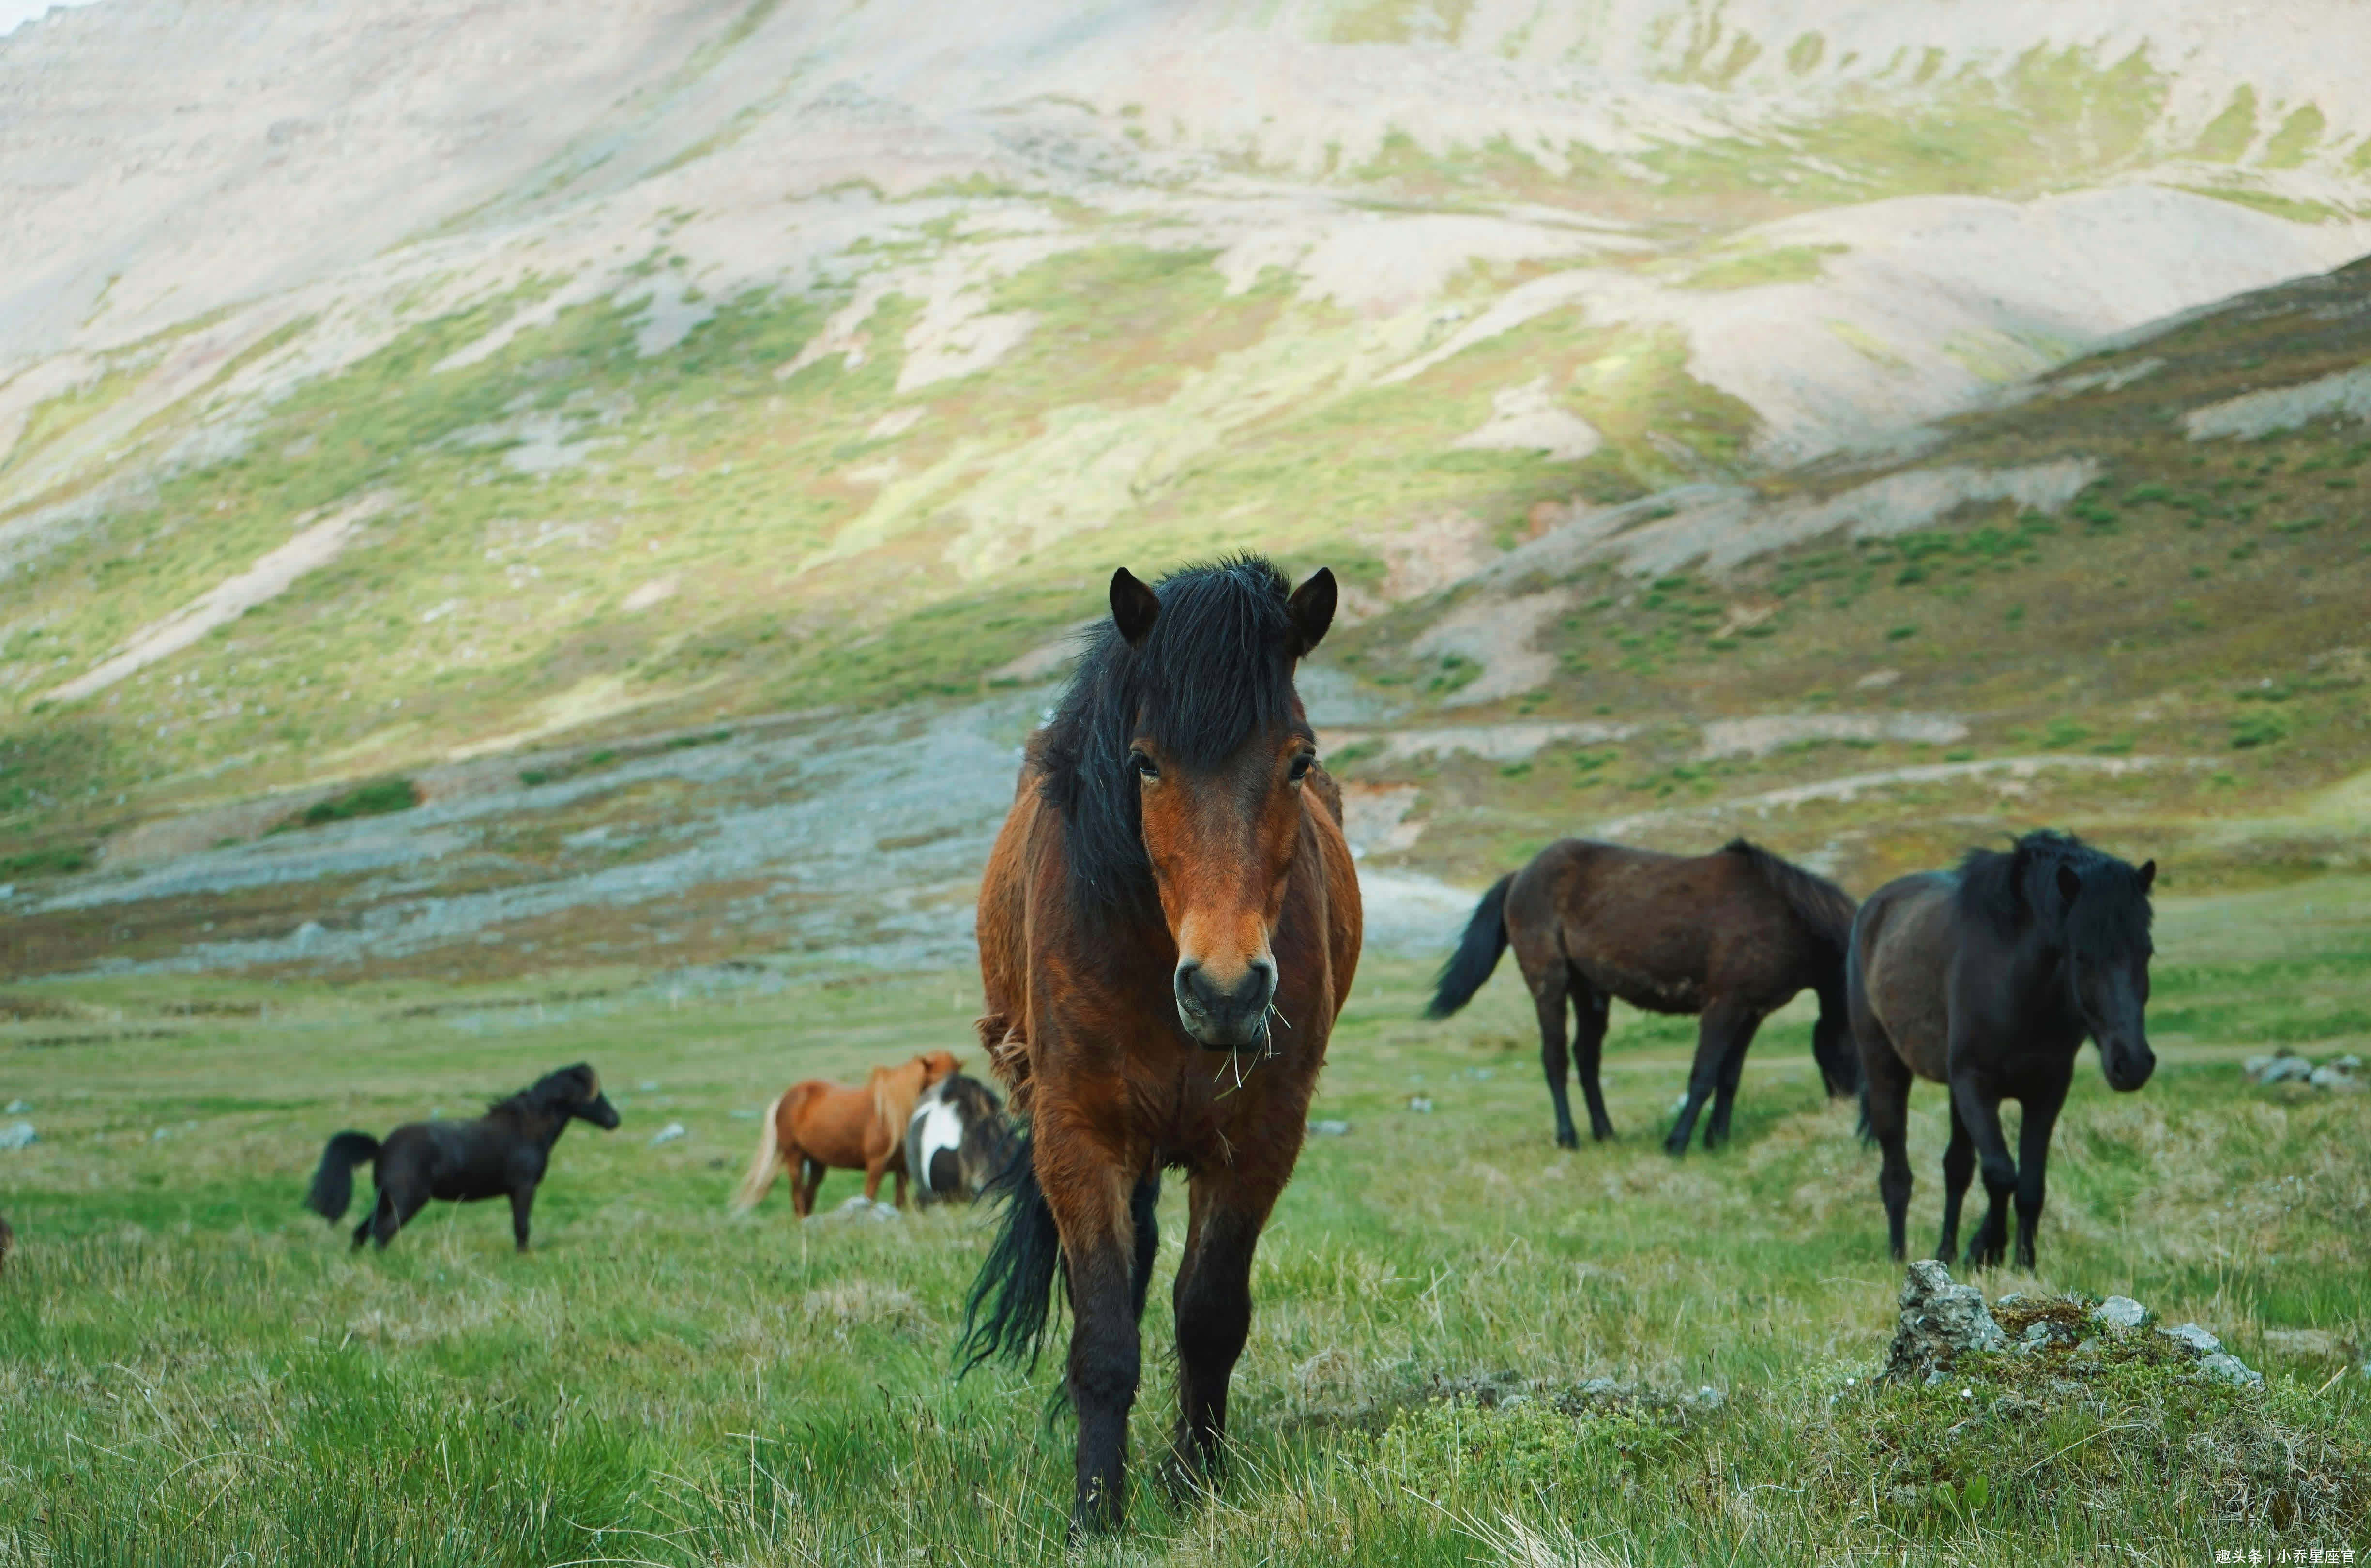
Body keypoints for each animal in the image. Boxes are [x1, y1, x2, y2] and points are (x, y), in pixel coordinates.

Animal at [305, 1063, 616, 1243]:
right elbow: (522, 1229)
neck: (526, 1129)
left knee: (363, 1232)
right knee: (382, 1234)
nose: (615, 1120)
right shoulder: (523, 1189)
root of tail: (381, 1148)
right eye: (594, 1096)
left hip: (385, 1200)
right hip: (406, 1202)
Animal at [953, 557, 1366, 1537]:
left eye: (1299, 760)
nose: (1225, 991)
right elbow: (1105, 1330)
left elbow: (1209, 1315)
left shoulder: (1257, 1143)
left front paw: (1193, 1482)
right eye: (1143, 762)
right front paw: (1095, 1510)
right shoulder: (1080, 1139)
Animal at [1422, 839, 1868, 1157]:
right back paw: (1569, 1137)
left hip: (1590, 990)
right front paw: (1677, 1143)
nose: (1844, 1108)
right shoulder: (1723, 1006)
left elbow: (1729, 1078)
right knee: (1556, 1059)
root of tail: (1520, 875)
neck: (1784, 916)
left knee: (1587, 1058)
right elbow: (1703, 1075)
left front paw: (1717, 1140)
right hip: (1549, 983)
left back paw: (1605, 1132)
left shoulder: (1751, 1012)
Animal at [1849, 830, 2172, 1271]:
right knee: (1897, 1173)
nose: (2133, 1063)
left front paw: (2022, 1262)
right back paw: (1899, 1256)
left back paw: (1945, 1252)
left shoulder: (2047, 1091)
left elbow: (2030, 1184)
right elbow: (2001, 1173)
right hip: (1885, 1068)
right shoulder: (1975, 1085)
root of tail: (1873, 908)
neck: (2016, 985)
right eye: (2081, 955)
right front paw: (1987, 1249)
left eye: (2147, 951)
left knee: (1957, 1168)